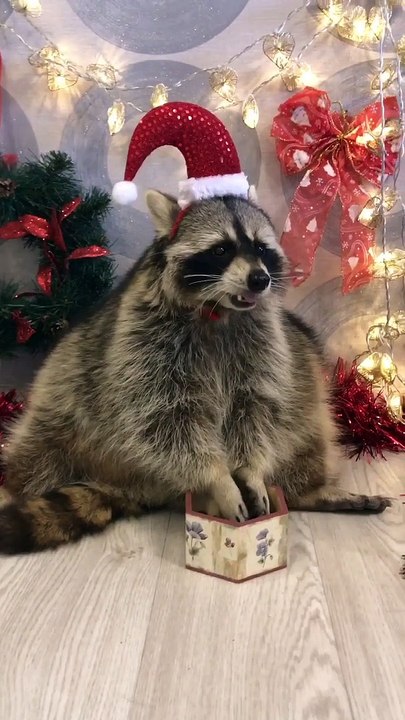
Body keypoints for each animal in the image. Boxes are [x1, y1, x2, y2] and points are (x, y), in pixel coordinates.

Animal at [0, 192, 390, 554]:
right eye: (221, 249)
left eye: (261, 248)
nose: (260, 279)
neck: (219, 309)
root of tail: (134, 487)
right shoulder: (140, 342)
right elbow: (164, 415)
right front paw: (217, 478)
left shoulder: (267, 341)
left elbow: (257, 405)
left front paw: (249, 470)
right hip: (65, 385)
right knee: (41, 443)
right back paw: (13, 484)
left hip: (303, 373)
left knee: (311, 421)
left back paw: (308, 491)